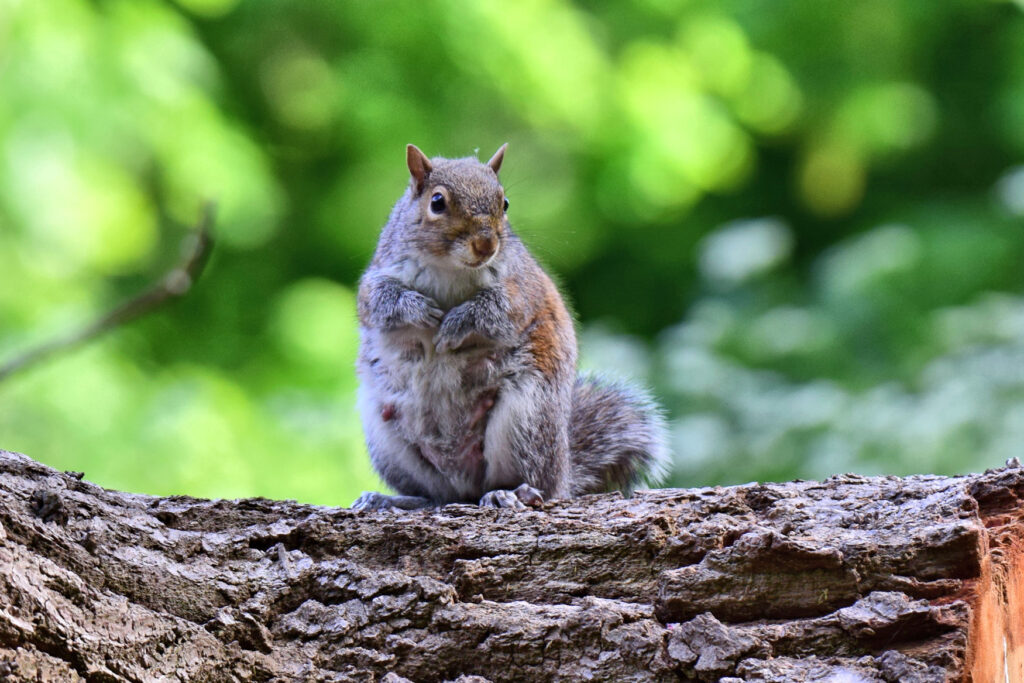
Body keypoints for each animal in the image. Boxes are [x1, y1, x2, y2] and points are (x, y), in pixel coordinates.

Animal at [352, 144, 669, 510]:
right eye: (437, 202)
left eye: (504, 203)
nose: (486, 245)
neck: (449, 268)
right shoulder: (379, 274)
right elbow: (378, 301)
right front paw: (418, 309)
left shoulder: (520, 288)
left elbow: (496, 311)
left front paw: (455, 324)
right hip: (386, 437)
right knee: (436, 496)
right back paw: (392, 499)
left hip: (526, 420)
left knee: (536, 484)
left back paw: (511, 492)